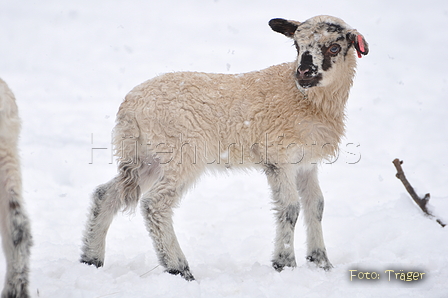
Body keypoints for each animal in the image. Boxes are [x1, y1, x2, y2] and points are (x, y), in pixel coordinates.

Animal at [79, 15, 368, 280]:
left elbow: (316, 205)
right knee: (155, 204)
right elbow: (290, 208)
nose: (303, 72)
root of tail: (130, 107)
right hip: (181, 153)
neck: (305, 99)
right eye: (297, 45)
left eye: (334, 47)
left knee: (106, 194)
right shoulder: (278, 157)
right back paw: (179, 268)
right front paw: (285, 264)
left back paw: (91, 258)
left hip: (146, 157)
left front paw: (321, 263)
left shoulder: (306, 162)